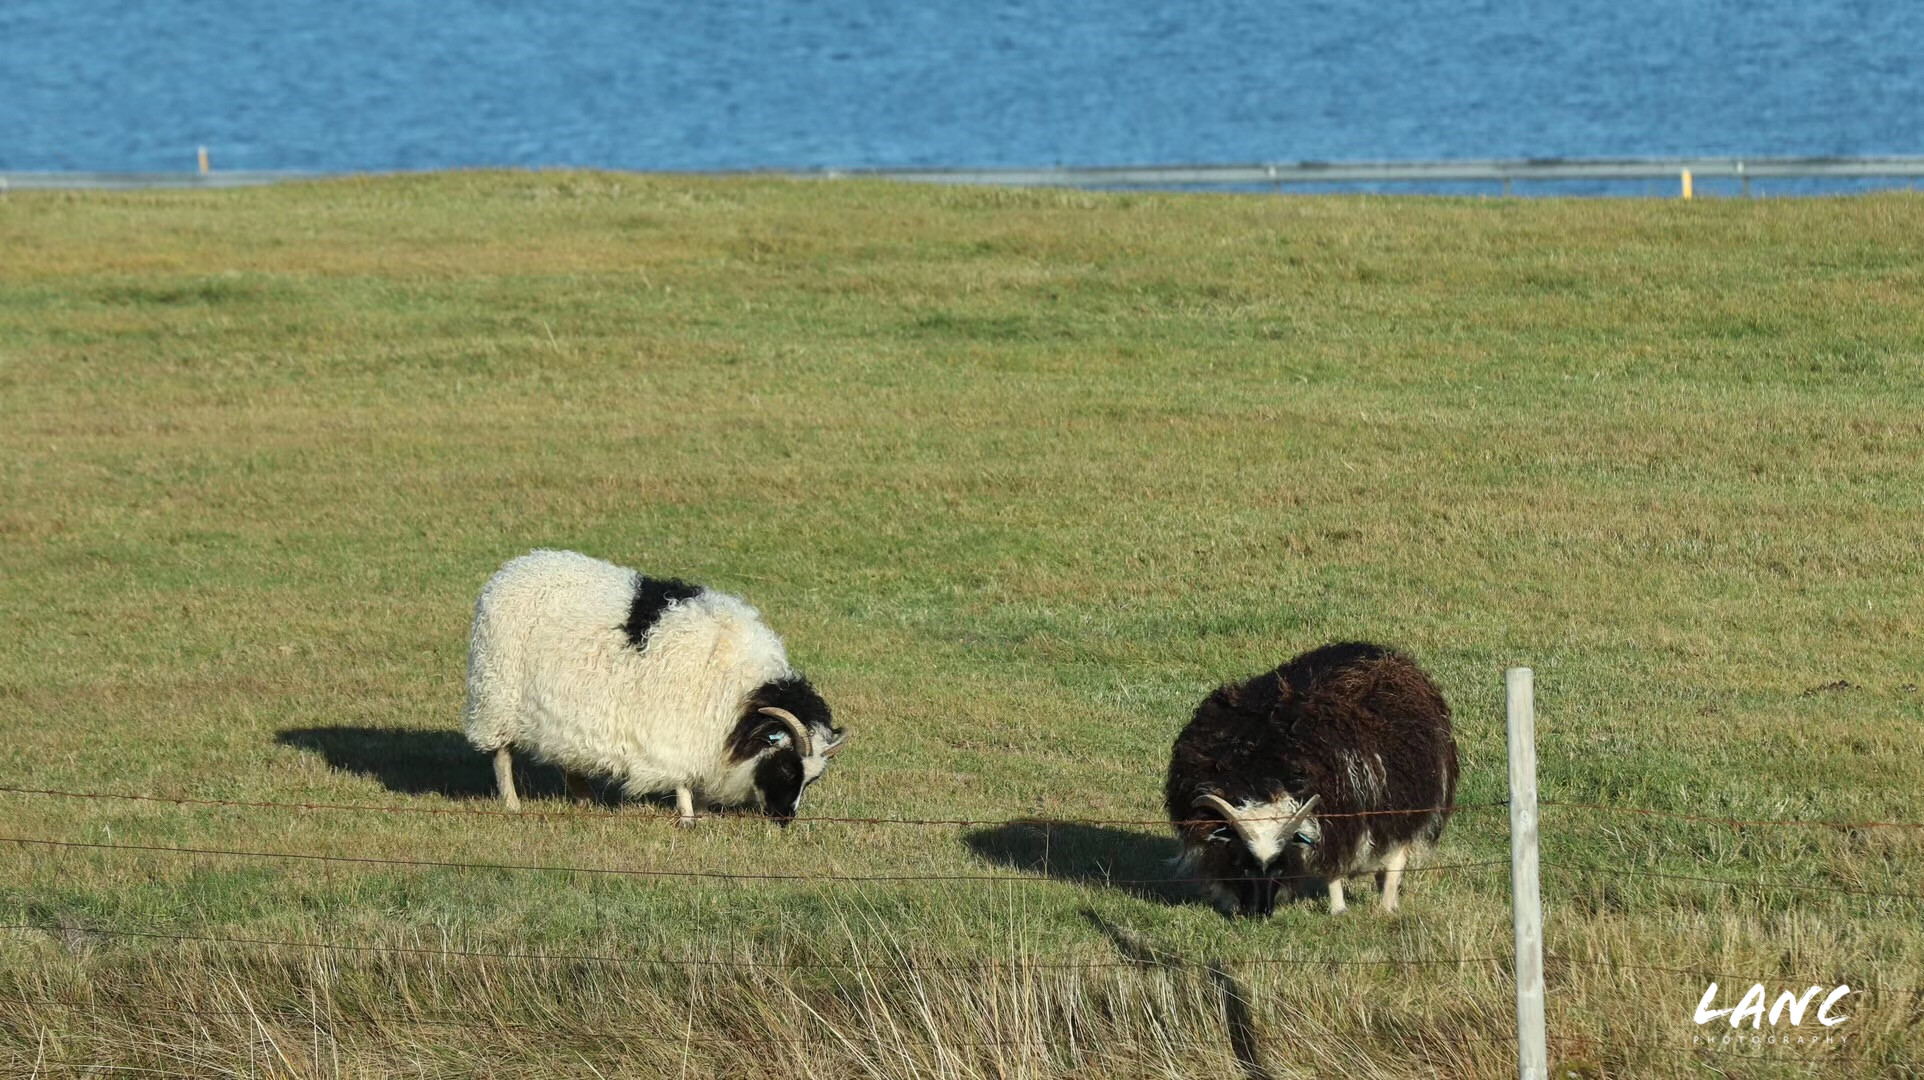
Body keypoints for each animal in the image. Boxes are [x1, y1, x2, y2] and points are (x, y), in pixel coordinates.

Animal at [461, 550, 846, 820]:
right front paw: (689, 817)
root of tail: (513, 569)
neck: (742, 699)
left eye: (811, 780)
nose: (785, 819)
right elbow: (681, 777)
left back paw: (586, 801)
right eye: (786, 767)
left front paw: (703, 812)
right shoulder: (676, 729)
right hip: (497, 694)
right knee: (501, 754)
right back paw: (512, 804)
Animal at [1154, 639, 1454, 916]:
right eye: (1242, 866)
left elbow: (1333, 868)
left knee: (1396, 855)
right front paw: (1226, 897)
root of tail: (1377, 649)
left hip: (1411, 800)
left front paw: (1338, 911)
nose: (1259, 913)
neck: (1262, 780)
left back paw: (1387, 905)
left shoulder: (1338, 820)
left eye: (1281, 866)